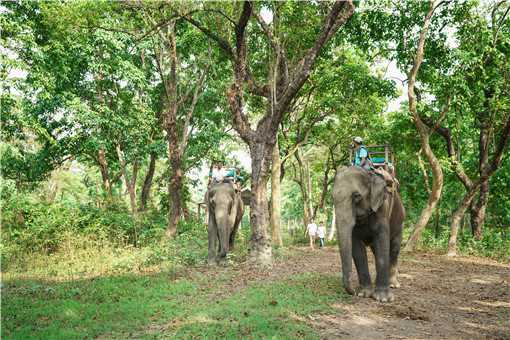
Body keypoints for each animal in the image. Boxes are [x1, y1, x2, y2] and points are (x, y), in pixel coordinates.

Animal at [330, 166, 406, 302]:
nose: (353, 292)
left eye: (356, 196)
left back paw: (393, 284)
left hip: (400, 223)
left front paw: (383, 298)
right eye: (332, 197)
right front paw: (363, 293)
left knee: (394, 250)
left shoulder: (382, 209)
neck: (369, 174)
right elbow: (357, 248)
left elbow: (382, 242)